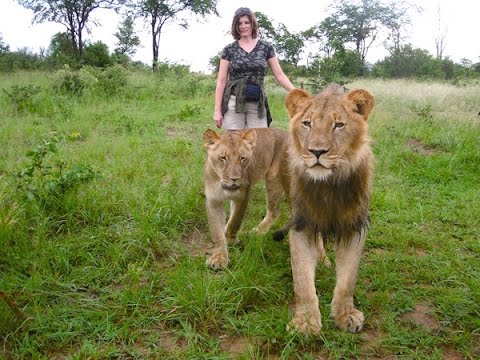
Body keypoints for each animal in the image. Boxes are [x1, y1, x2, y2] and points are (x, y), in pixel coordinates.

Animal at [202, 128, 288, 268]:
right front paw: (219, 258)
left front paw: (230, 239)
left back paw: (257, 231)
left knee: (275, 211)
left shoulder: (242, 197)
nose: (235, 179)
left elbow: (235, 221)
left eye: (243, 158)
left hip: (274, 179)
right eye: (223, 158)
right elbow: (217, 233)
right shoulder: (213, 201)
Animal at [284, 85, 376, 334]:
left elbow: (348, 279)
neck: (328, 186)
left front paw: (345, 315)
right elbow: (302, 280)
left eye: (339, 125)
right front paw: (306, 322)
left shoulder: (354, 226)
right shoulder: (302, 223)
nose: (317, 151)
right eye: (307, 123)